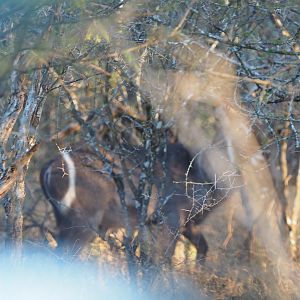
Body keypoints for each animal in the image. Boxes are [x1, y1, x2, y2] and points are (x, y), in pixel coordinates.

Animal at [40, 142, 218, 262]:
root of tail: (48, 168)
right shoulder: (172, 217)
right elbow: (162, 259)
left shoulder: (181, 223)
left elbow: (202, 246)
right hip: (83, 221)